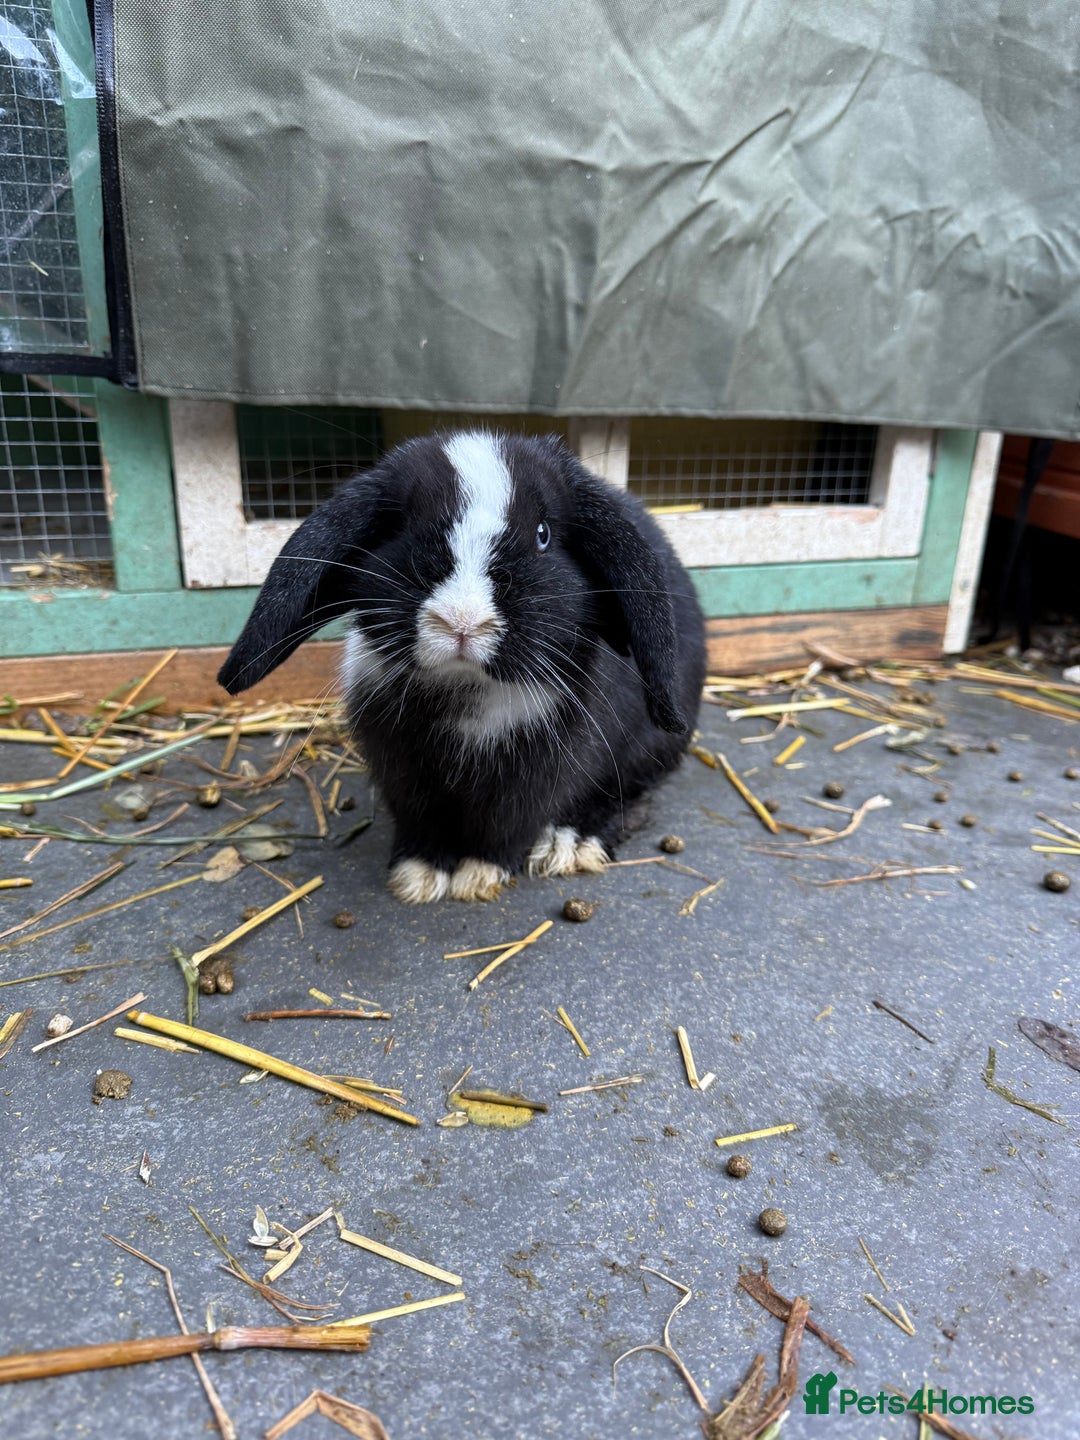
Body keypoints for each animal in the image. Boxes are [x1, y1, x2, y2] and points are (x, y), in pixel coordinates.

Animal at [218, 430, 707, 902]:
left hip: (646, 750)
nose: (461, 621)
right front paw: (417, 877)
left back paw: (571, 842)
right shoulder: (405, 774)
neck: (464, 691)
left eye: (543, 534)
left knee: (630, 796)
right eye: (405, 528)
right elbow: (422, 823)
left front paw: (479, 876)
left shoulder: (532, 781)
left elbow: (507, 828)